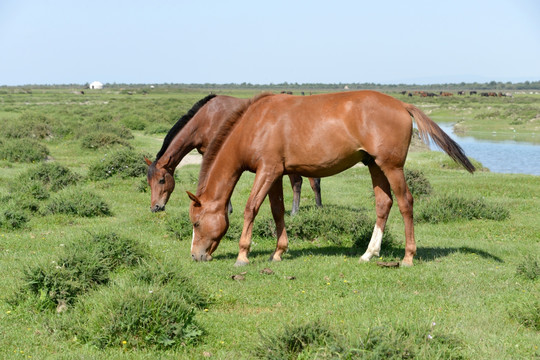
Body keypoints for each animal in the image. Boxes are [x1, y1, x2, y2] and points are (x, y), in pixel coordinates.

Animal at [144, 94, 320, 215]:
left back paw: (295, 212)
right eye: (148, 182)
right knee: (313, 182)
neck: (206, 119)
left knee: (298, 182)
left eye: (161, 180)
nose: (155, 207)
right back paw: (319, 206)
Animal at [188, 90, 474, 268]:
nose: (196, 256)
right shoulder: (276, 173)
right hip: (375, 166)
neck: (255, 124)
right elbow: (278, 211)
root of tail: (402, 105)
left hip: (392, 167)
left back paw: (407, 257)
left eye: (197, 223)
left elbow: (251, 208)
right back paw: (369, 253)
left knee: (406, 203)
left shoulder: (267, 171)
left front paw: (243, 255)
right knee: (384, 204)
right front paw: (278, 252)